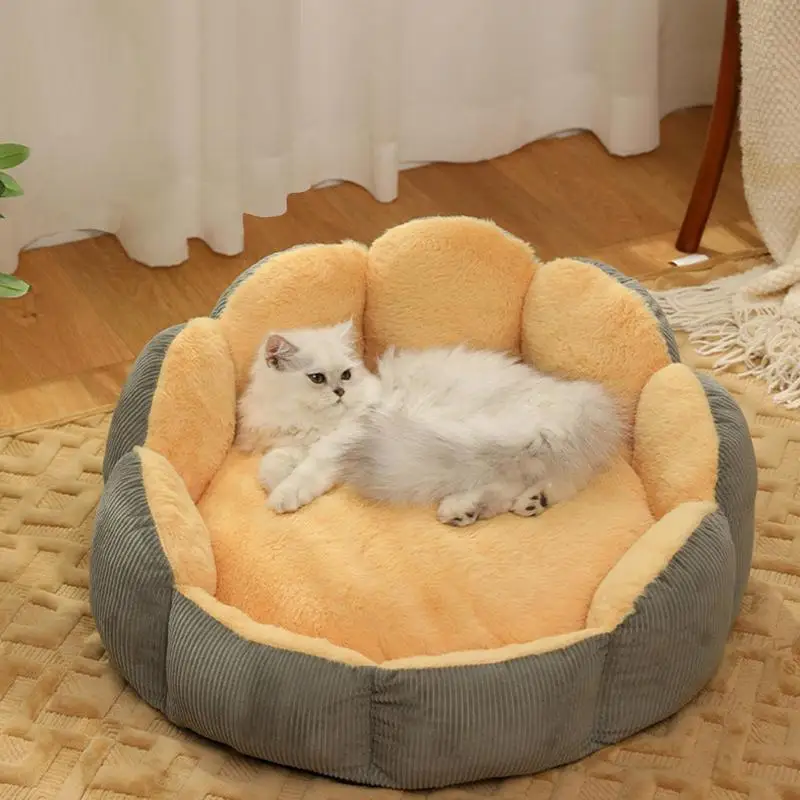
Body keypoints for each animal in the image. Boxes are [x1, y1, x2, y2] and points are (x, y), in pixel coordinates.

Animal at [237, 321, 626, 526]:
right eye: (317, 378)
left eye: (345, 374)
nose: (339, 392)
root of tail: (579, 400)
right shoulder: (292, 441)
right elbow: (272, 465)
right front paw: (277, 481)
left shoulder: (346, 437)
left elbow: (308, 468)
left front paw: (285, 496)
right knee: (538, 485)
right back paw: (506, 506)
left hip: (473, 439)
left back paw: (468, 509)